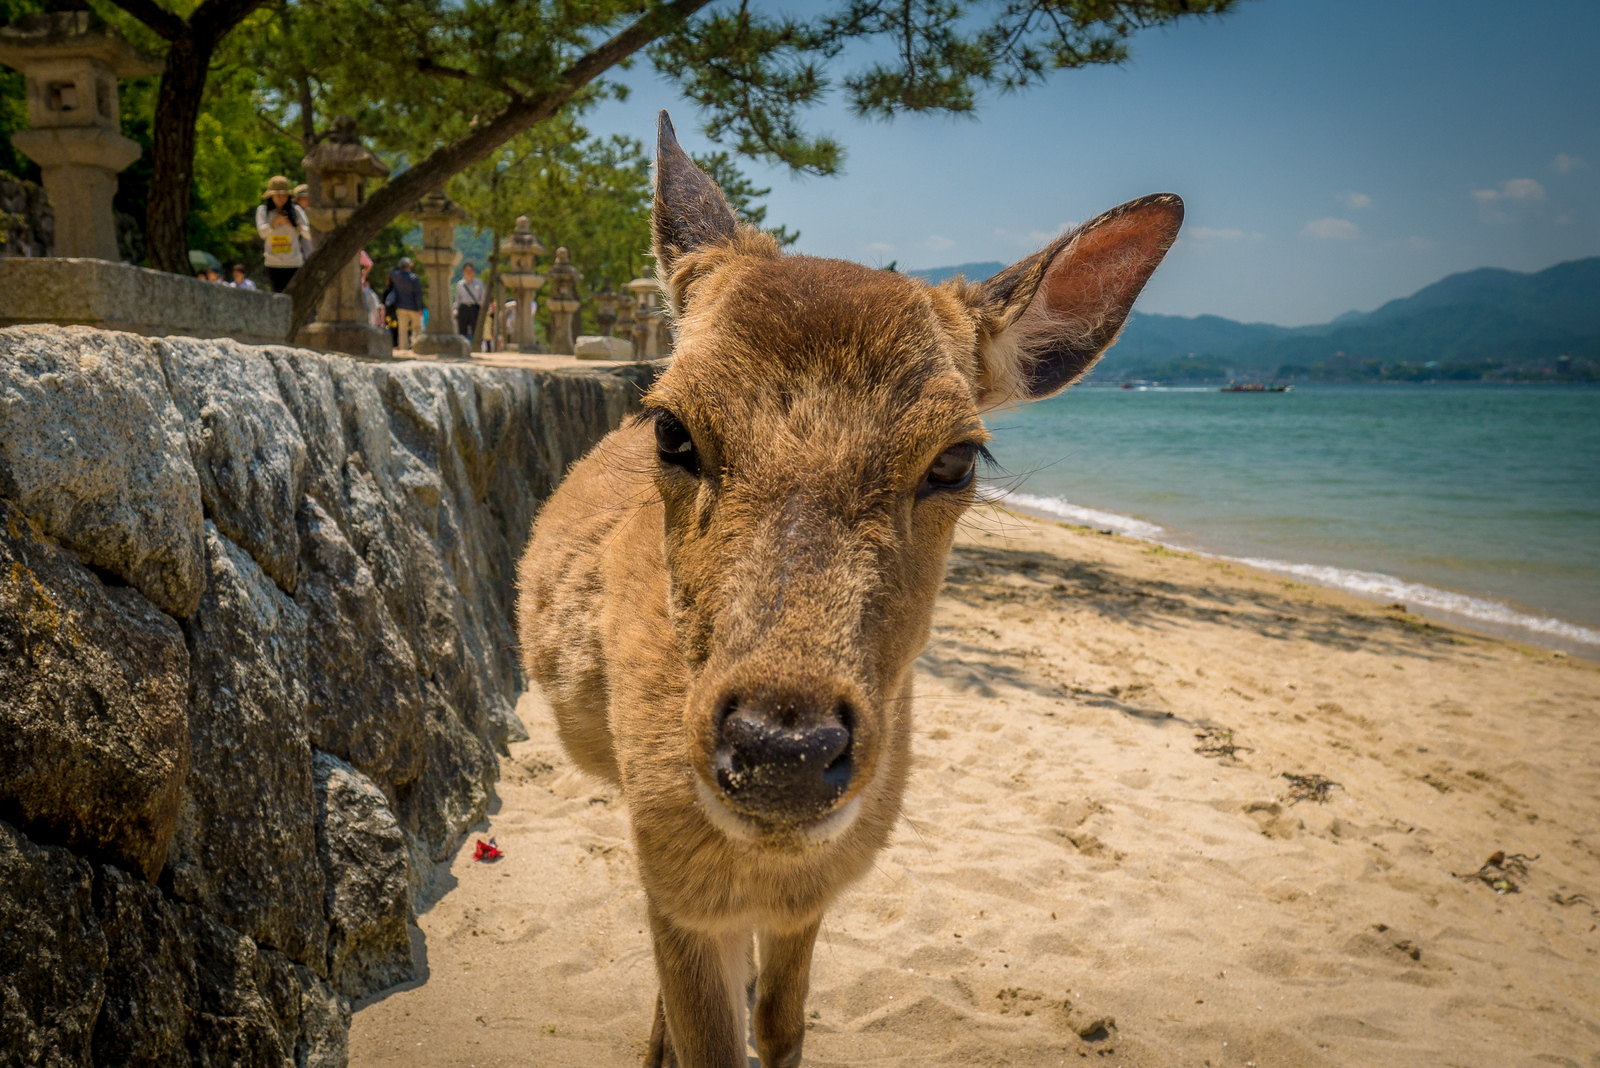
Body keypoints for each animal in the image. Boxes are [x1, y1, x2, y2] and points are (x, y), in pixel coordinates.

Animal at [515, 110, 1182, 1068]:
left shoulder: (815, 893)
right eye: (671, 427)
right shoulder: (667, 875)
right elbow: (707, 1033)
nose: (783, 751)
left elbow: (781, 1027)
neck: (764, 865)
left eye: (957, 457)